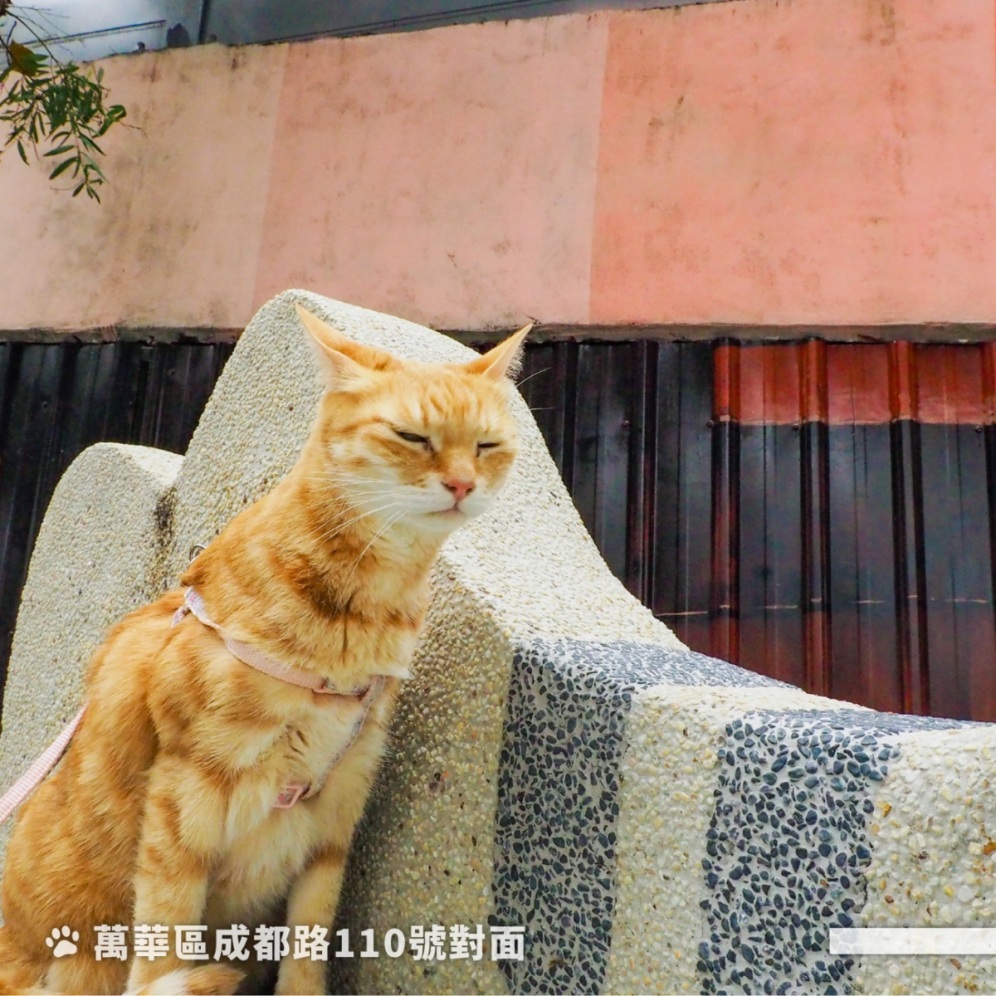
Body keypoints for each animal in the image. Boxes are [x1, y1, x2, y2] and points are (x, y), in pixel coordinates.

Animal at [0, 305, 529, 996]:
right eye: (412, 436)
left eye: (487, 446)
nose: (463, 483)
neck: (358, 616)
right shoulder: (185, 797)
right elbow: (166, 937)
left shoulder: (337, 807)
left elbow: (308, 944)